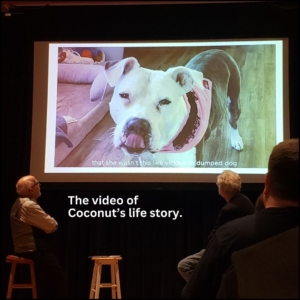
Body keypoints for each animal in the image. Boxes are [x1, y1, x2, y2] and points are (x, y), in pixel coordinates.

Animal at [103, 49, 244, 166]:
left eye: (165, 102)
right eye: (124, 95)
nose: (137, 125)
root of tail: (218, 50)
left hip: (233, 99)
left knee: (233, 120)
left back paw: (236, 140)